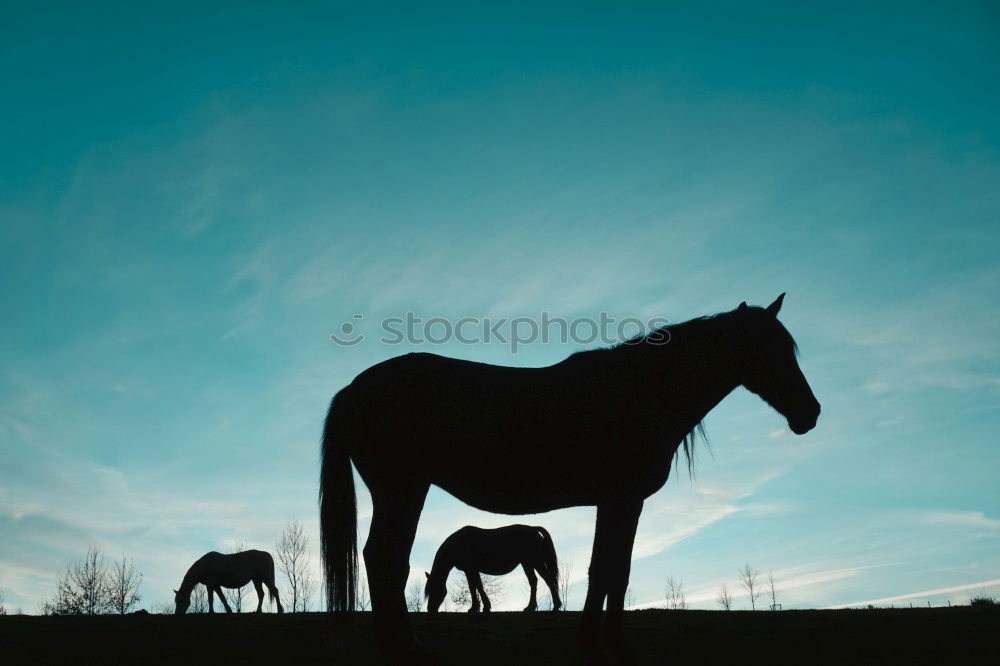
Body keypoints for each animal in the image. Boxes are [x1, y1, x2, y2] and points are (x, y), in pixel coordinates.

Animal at [422, 524, 564, 612]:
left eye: (434, 589)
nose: (430, 609)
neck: (458, 545)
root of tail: (534, 529)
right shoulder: (469, 570)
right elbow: (473, 587)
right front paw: (475, 608)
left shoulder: (471, 569)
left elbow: (477, 586)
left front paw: (483, 607)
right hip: (527, 563)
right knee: (533, 581)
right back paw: (530, 607)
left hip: (536, 562)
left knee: (549, 580)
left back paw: (556, 606)